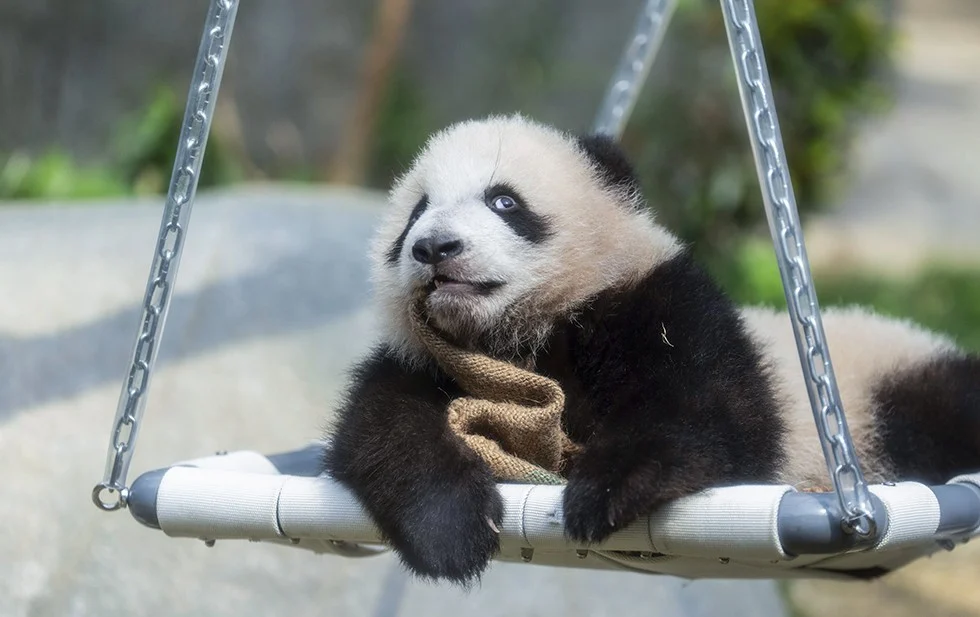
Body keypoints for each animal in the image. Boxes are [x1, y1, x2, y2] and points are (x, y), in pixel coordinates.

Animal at [321, 113, 980, 585]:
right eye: (416, 212)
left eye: (504, 201)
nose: (434, 248)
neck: (520, 333)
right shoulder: (430, 362)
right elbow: (382, 427)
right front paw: (453, 529)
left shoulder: (659, 306)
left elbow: (713, 413)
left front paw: (603, 492)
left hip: (892, 385)